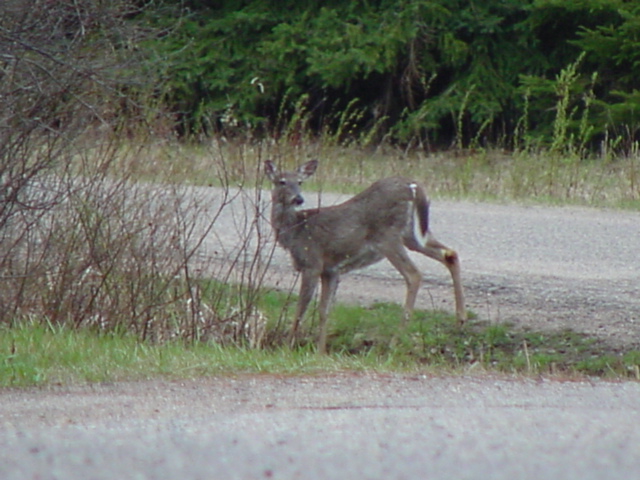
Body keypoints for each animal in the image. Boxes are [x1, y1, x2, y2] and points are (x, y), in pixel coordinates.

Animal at [265, 159, 466, 353]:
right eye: (281, 182)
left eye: (300, 182)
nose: (298, 199)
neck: (295, 231)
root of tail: (413, 186)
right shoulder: (330, 270)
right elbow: (324, 311)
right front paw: (320, 351)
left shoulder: (312, 263)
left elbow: (300, 309)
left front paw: (286, 348)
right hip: (412, 235)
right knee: (450, 254)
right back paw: (460, 319)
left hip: (387, 236)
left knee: (414, 275)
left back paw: (395, 342)